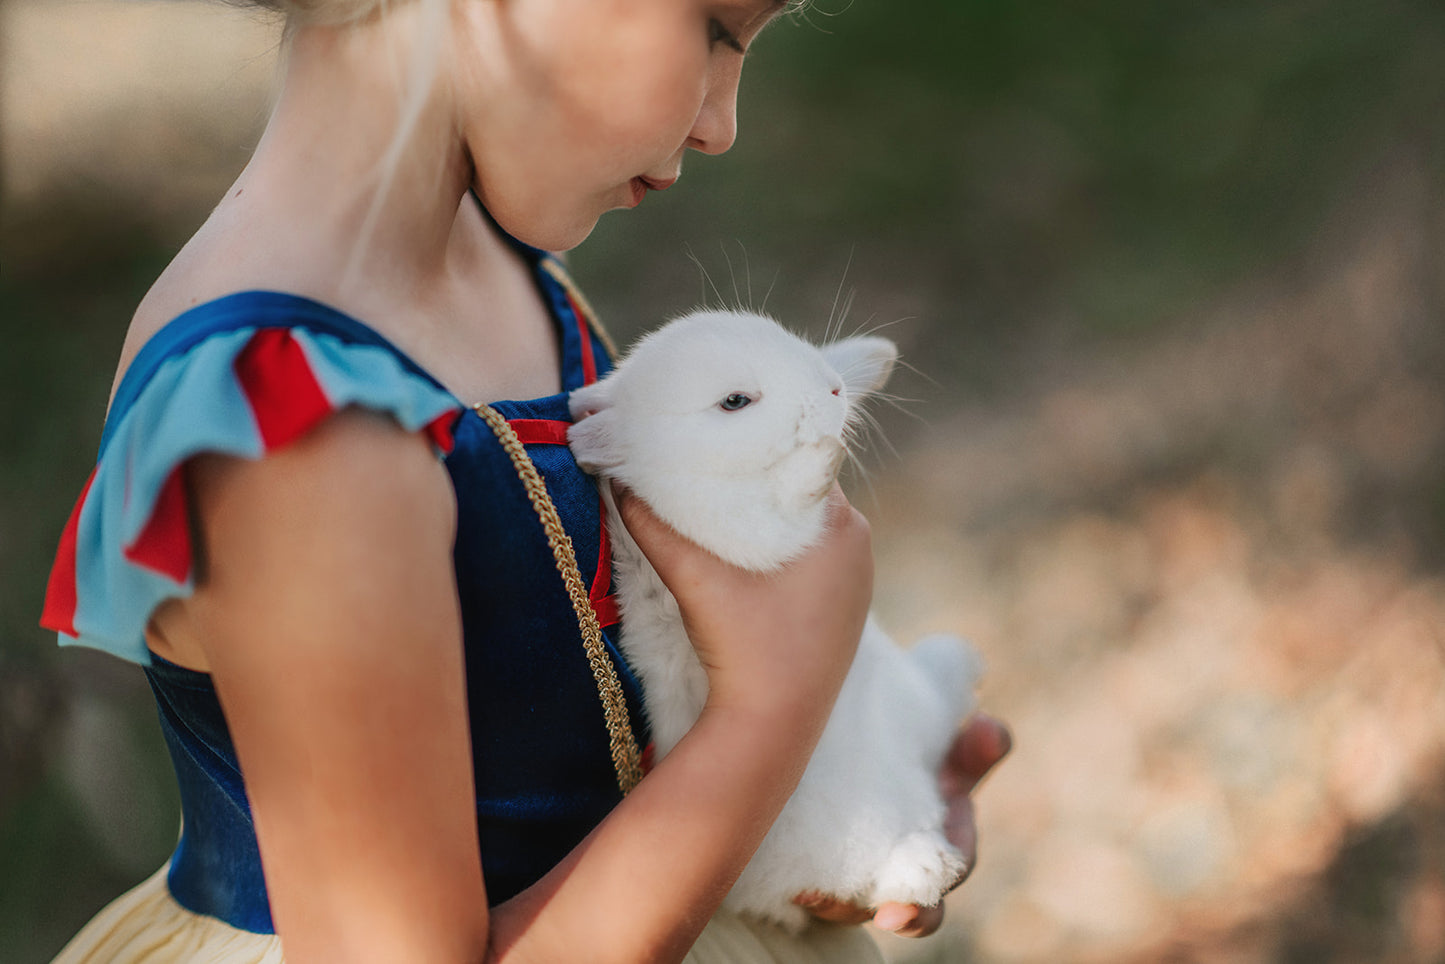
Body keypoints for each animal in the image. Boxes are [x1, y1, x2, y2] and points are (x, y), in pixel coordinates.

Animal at [569, 310, 988, 936]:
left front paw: (868, 360)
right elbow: (781, 512)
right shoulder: (732, 529)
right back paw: (928, 866)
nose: (833, 392)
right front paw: (824, 455)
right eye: (735, 401)